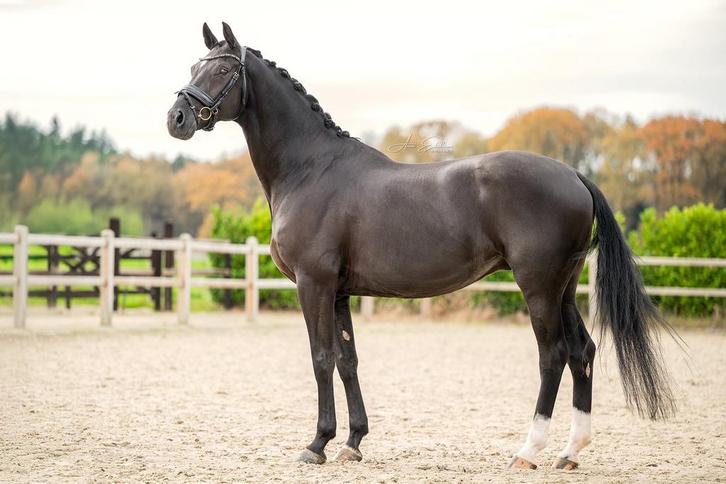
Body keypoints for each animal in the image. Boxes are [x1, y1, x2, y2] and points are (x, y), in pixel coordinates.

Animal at [167, 22, 676, 470]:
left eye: (222, 70)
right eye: (193, 65)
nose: (176, 119)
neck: (310, 169)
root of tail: (572, 174)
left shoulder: (314, 284)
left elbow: (320, 360)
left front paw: (317, 444)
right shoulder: (340, 292)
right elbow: (348, 361)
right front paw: (352, 442)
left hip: (539, 287)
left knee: (552, 357)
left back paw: (528, 451)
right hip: (566, 288)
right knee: (582, 352)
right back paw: (569, 452)